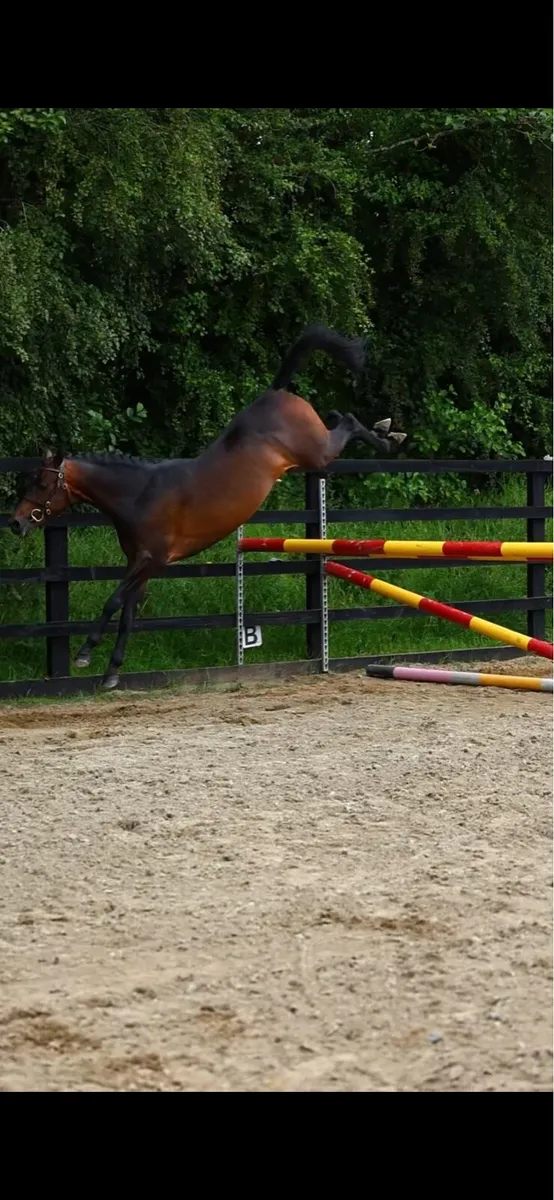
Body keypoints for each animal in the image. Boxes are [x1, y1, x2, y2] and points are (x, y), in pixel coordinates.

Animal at [10, 323, 406, 688]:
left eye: (42, 483)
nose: (16, 523)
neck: (139, 495)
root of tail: (275, 394)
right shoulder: (140, 565)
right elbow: (127, 612)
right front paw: (111, 672)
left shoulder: (152, 560)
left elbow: (113, 601)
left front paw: (84, 654)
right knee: (341, 418)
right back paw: (387, 432)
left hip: (317, 453)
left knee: (348, 423)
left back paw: (388, 437)